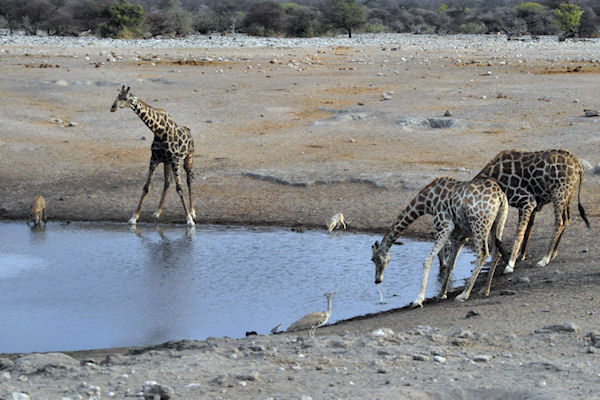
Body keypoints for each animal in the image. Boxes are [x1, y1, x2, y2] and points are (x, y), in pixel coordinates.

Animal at [111, 85, 196, 227]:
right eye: (117, 96)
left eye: (126, 98)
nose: (112, 107)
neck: (159, 131)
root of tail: (188, 130)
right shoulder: (154, 159)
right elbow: (146, 187)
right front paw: (134, 217)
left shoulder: (175, 160)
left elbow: (180, 188)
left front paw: (189, 219)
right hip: (167, 162)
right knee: (167, 182)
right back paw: (158, 211)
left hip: (188, 158)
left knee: (189, 181)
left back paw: (192, 211)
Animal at [372, 177, 508, 308]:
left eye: (374, 259)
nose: (377, 280)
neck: (427, 202)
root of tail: (500, 195)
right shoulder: (458, 237)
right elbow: (450, 265)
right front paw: (441, 294)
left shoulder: (446, 227)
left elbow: (428, 260)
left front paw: (418, 299)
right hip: (498, 222)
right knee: (496, 252)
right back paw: (485, 290)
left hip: (479, 224)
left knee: (483, 253)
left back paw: (464, 294)